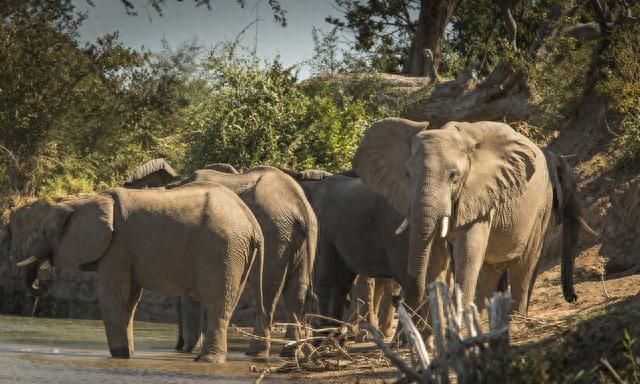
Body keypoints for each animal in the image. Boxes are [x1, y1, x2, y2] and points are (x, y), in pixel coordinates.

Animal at [15, 184, 264, 364]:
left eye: (44, 231)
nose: (41, 284)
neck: (87, 201)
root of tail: (252, 222)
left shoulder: (117, 247)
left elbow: (112, 295)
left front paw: (119, 355)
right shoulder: (125, 251)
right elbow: (130, 299)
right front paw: (128, 354)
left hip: (222, 249)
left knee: (216, 303)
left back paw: (208, 361)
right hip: (236, 253)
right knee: (227, 302)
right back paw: (204, 359)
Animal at [352, 118, 584, 316]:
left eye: (453, 176)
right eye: (408, 175)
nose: (396, 299)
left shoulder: (479, 194)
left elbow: (468, 251)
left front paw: (460, 321)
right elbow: (436, 254)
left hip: (541, 206)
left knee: (525, 261)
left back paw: (516, 318)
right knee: (492, 268)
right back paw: (484, 315)